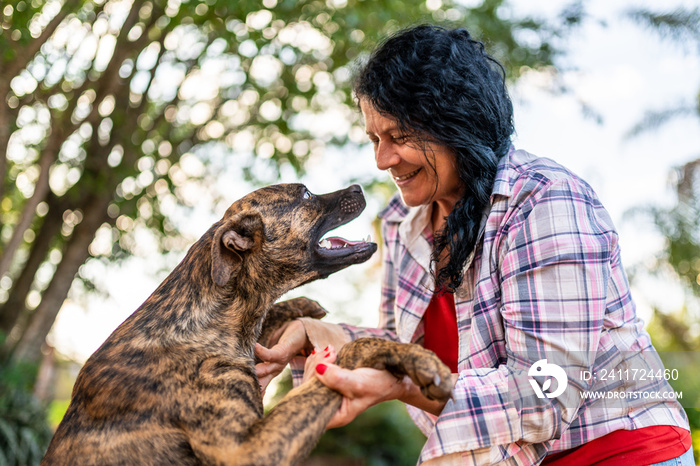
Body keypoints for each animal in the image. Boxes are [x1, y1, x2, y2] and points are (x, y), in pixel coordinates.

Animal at [41, 184, 452, 464]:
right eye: (305, 193)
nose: (358, 187)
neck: (204, 325)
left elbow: (271, 312)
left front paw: (302, 306)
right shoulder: (249, 448)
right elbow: (353, 349)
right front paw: (418, 359)